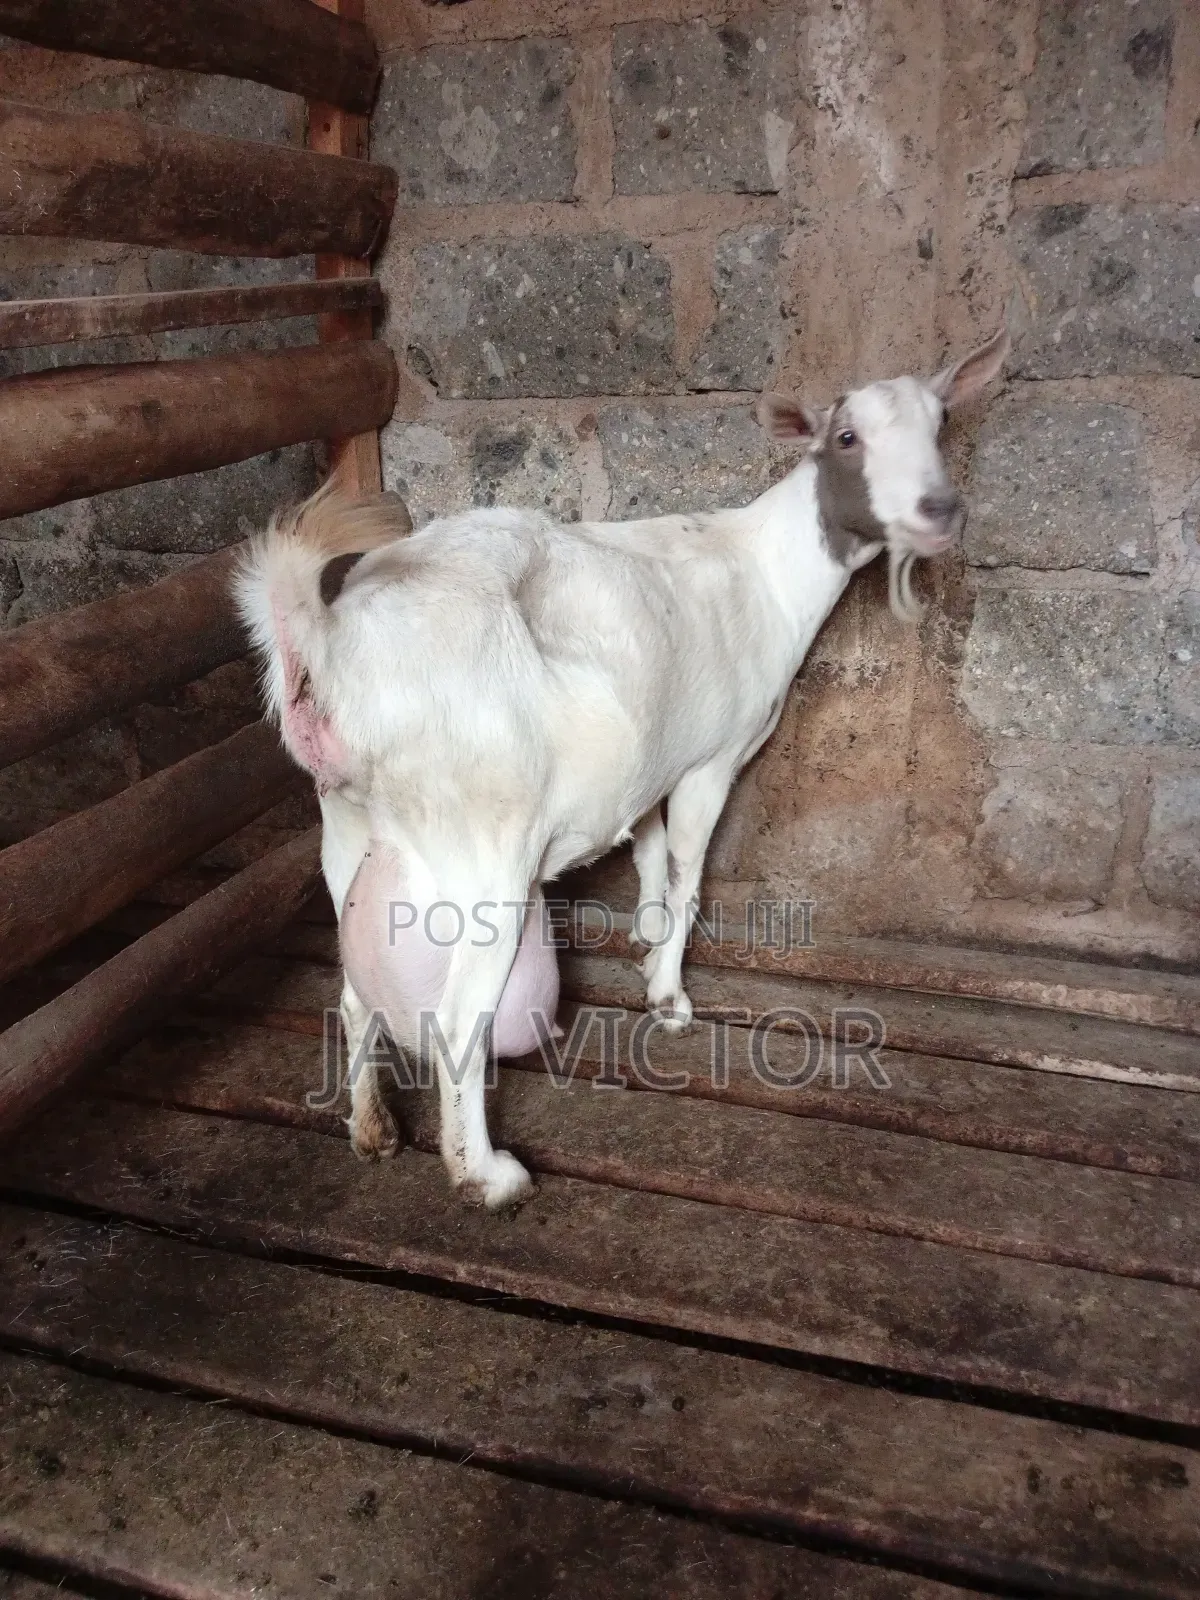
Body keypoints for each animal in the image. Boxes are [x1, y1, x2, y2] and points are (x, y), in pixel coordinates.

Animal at [236, 328, 1008, 1209]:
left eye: (942, 422)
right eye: (847, 438)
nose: (940, 511)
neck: (766, 570)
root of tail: (330, 646)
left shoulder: (651, 754)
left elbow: (646, 845)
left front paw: (645, 933)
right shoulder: (714, 756)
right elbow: (688, 866)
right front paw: (669, 992)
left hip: (344, 828)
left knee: (353, 994)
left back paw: (371, 1129)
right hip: (482, 848)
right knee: (461, 1020)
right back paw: (488, 1177)